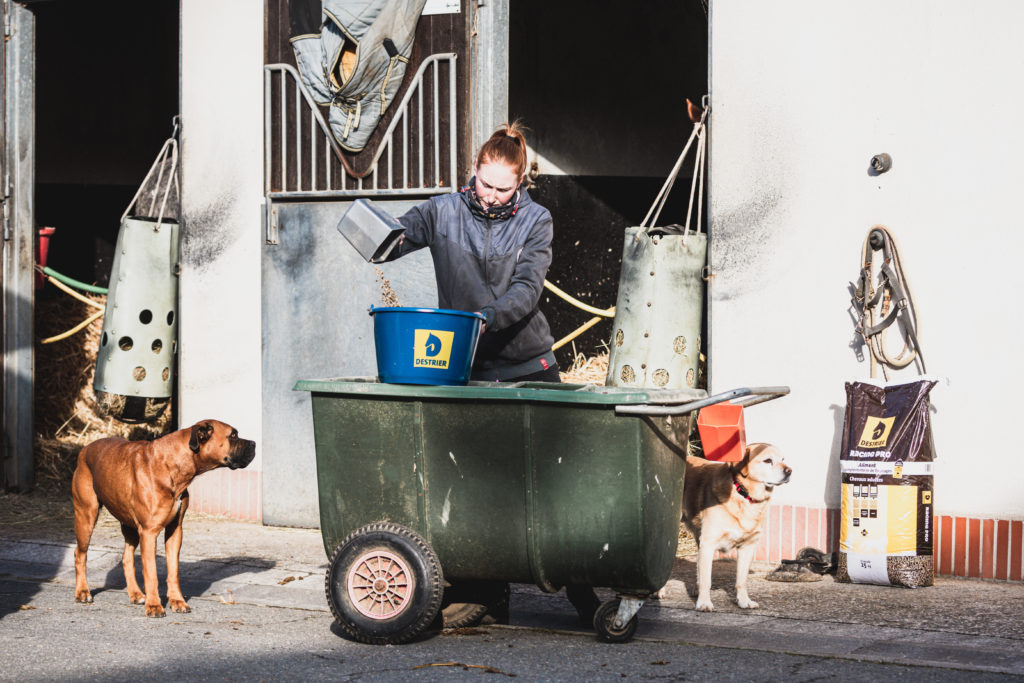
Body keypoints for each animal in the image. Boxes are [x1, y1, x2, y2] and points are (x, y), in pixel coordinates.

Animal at [71, 419, 253, 618]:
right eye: (233, 436)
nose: (254, 444)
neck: (173, 465)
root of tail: (85, 449)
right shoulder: (149, 532)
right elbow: (151, 573)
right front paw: (154, 606)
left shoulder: (175, 531)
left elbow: (173, 571)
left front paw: (177, 601)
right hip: (86, 515)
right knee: (80, 554)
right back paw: (83, 592)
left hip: (130, 526)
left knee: (127, 558)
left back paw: (136, 594)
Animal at [684, 444, 786, 614]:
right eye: (768, 460)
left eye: (783, 459)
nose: (789, 471)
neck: (743, 494)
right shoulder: (708, 544)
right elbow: (707, 580)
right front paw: (704, 603)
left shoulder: (747, 547)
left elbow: (741, 580)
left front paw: (744, 601)